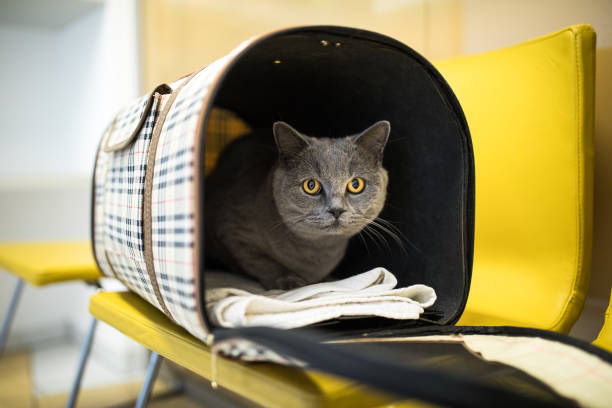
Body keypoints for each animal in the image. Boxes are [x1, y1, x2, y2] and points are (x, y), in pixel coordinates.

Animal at [203, 119, 390, 288]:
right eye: (311, 185)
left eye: (356, 184)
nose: (336, 209)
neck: (318, 253)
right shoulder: (232, 228)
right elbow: (261, 262)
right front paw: (289, 281)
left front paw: (325, 279)